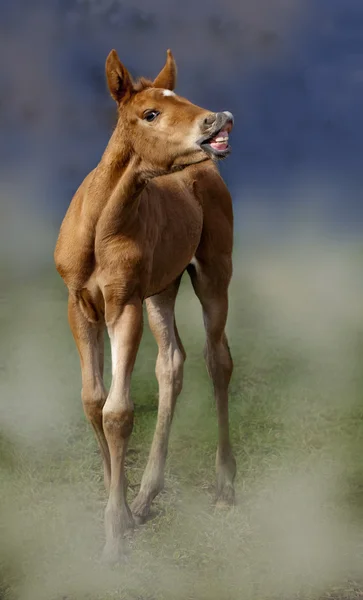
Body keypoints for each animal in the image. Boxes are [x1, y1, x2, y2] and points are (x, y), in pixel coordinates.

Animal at [54, 49, 236, 560]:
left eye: (184, 98)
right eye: (150, 113)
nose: (218, 119)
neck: (101, 226)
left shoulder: (125, 304)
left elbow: (118, 412)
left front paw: (115, 533)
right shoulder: (80, 306)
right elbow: (93, 400)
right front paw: (119, 505)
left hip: (213, 272)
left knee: (218, 360)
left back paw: (224, 488)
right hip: (163, 289)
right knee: (171, 362)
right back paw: (146, 494)